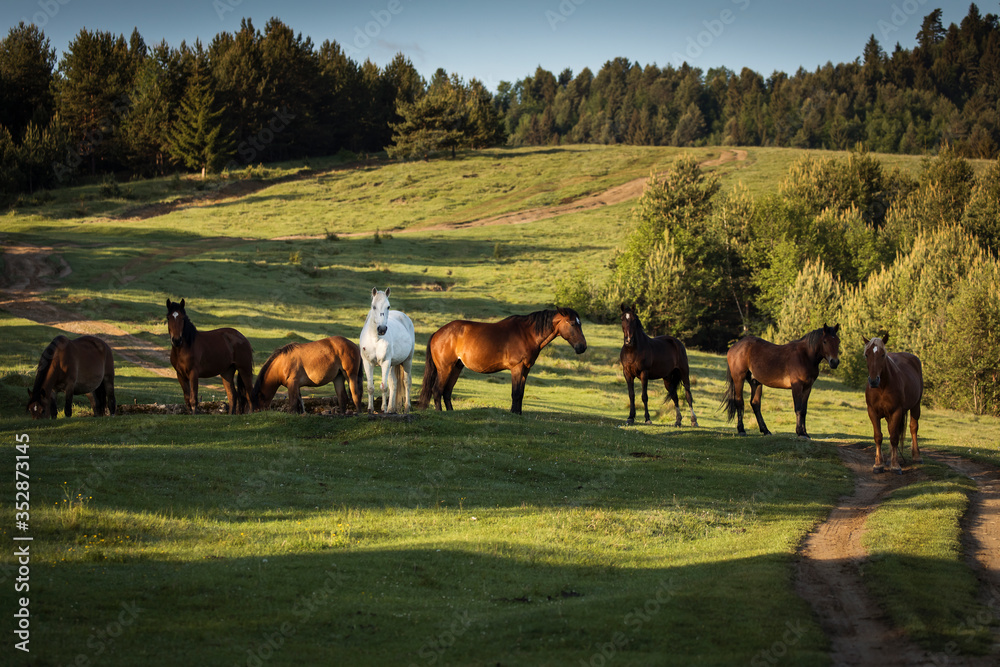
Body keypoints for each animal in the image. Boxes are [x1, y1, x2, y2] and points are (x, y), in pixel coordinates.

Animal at [417, 307, 587, 414]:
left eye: (580, 323)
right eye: (573, 323)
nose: (582, 347)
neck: (527, 334)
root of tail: (437, 333)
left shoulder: (526, 369)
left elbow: (521, 393)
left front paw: (518, 413)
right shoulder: (517, 368)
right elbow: (515, 393)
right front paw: (513, 413)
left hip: (457, 367)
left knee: (447, 391)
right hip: (445, 368)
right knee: (437, 390)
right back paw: (440, 413)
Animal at [862, 333, 923, 474]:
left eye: (883, 354)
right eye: (867, 354)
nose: (873, 381)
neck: (882, 387)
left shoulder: (896, 411)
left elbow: (894, 437)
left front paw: (895, 466)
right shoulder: (872, 412)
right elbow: (878, 436)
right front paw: (878, 464)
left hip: (916, 406)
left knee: (913, 428)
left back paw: (916, 456)